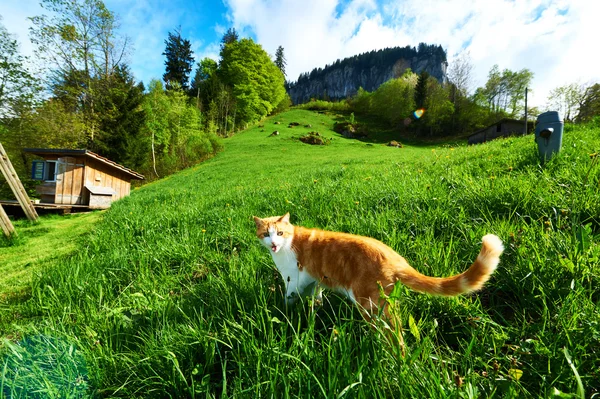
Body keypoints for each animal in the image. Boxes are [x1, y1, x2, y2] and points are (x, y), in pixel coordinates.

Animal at [251, 212, 504, 318]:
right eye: (266, 234)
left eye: (280, 233)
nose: (273, 243)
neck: (289, 244)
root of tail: (395, 257)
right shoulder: (314, 280)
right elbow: (317, 295)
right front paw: (317, 307)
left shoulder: (292, 281)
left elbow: (288, 300)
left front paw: (285, 313)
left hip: (370, 305)